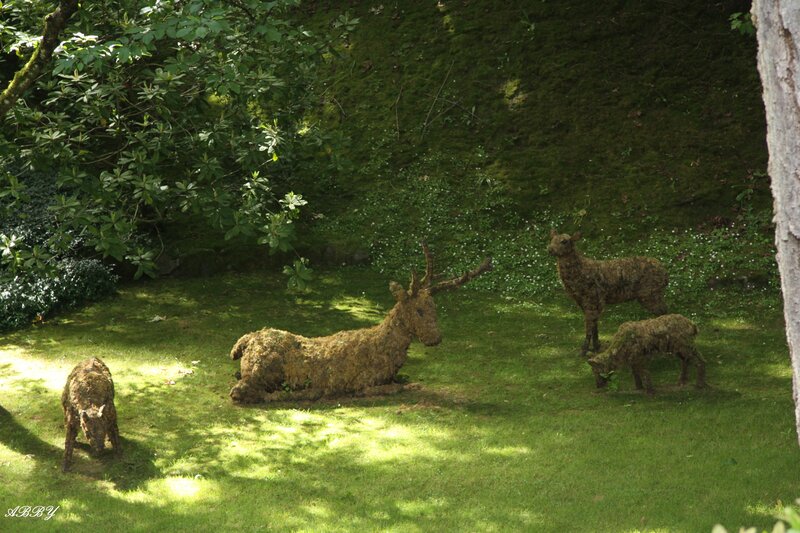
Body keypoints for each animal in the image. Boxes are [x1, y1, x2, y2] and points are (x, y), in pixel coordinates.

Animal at [229, 244, 493, 403]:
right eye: (418, 310)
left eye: (434, 308)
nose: (435, 338)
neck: (389, 351)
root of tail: (247, 341)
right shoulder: (365, 381)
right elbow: (396, 387)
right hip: (263, 368)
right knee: (241, 391)